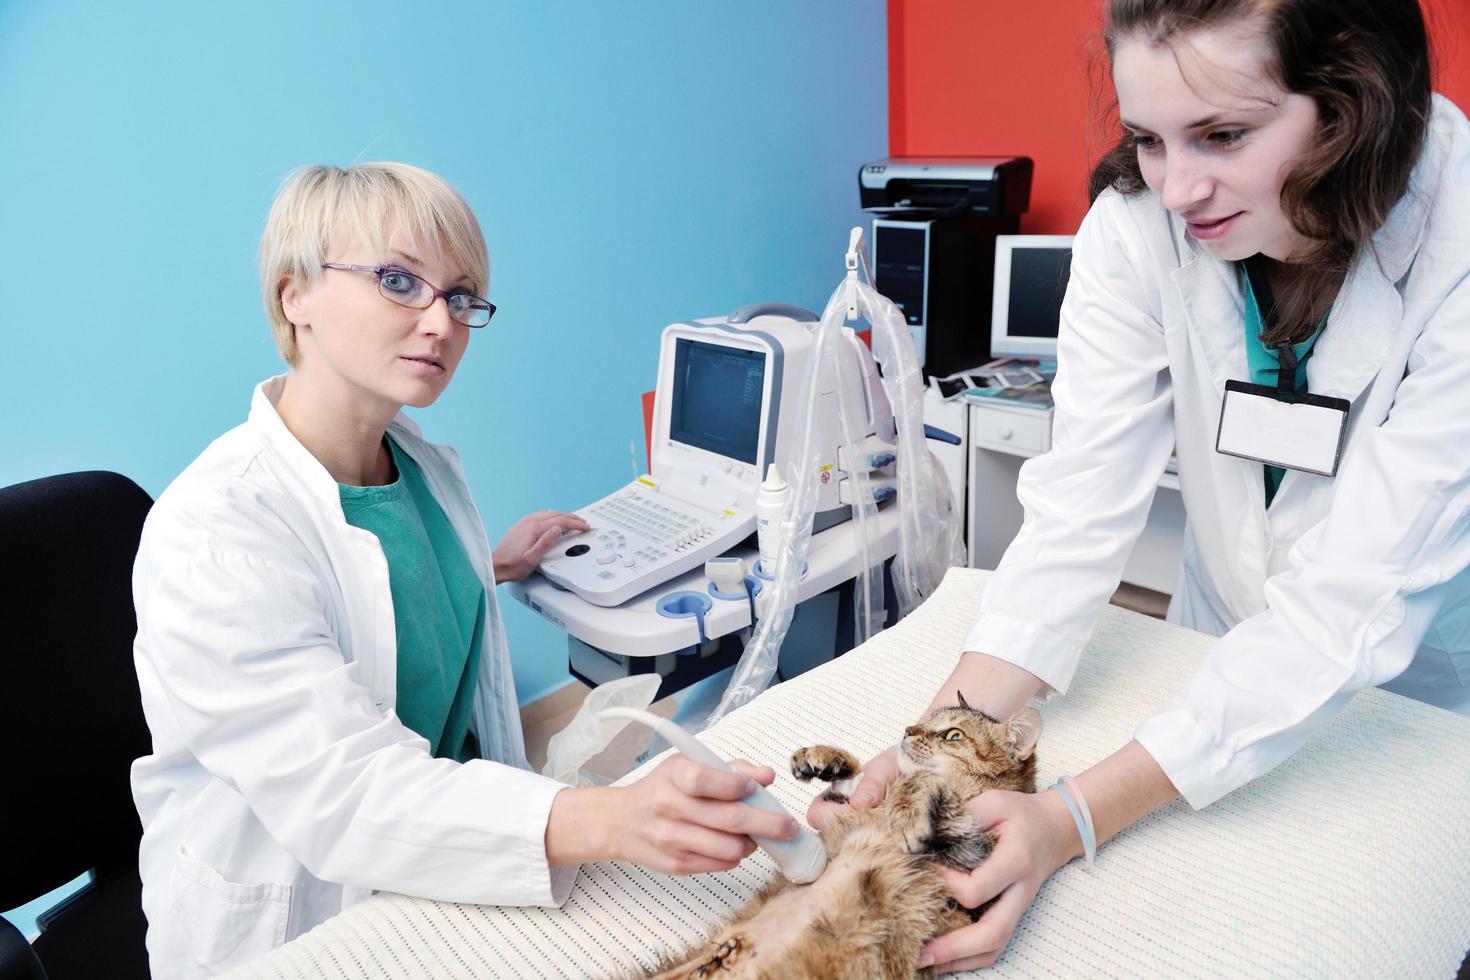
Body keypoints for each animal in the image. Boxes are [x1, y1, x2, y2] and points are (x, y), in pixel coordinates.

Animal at [646, 696, 1046, 980]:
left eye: (954, 735)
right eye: (926, 721)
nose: (908, 729)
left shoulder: (971, 862)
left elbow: (925, 781)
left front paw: (907, 811)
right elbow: (855, 782)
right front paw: (825, 759)